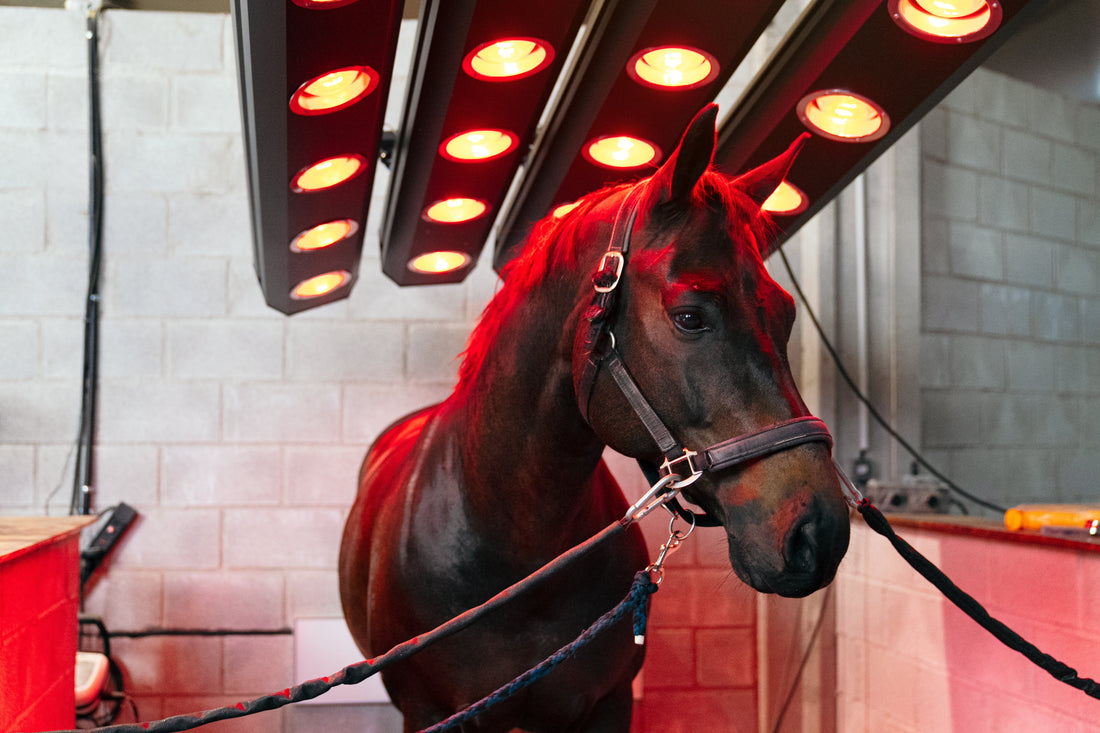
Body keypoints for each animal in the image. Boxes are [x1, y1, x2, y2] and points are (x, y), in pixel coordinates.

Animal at [338, 104, 851, 732]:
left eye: (786, 312)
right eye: (689, 316)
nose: (820, 531)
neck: (516, 553)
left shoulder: (606, 704)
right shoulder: (433, 715)